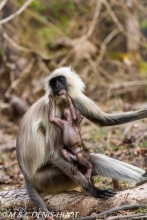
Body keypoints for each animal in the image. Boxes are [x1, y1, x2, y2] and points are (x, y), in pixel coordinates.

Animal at [16, 66, 147, 211]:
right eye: (53, 83)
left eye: (60, 80)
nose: (57, 86)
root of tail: (27, 176)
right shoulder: (52, 107)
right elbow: (54, 154)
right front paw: (95, 190)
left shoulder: (75, 99)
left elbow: (103, 121)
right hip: (47, 179)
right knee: (93, 162)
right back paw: (140, 179)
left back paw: (142, 177)